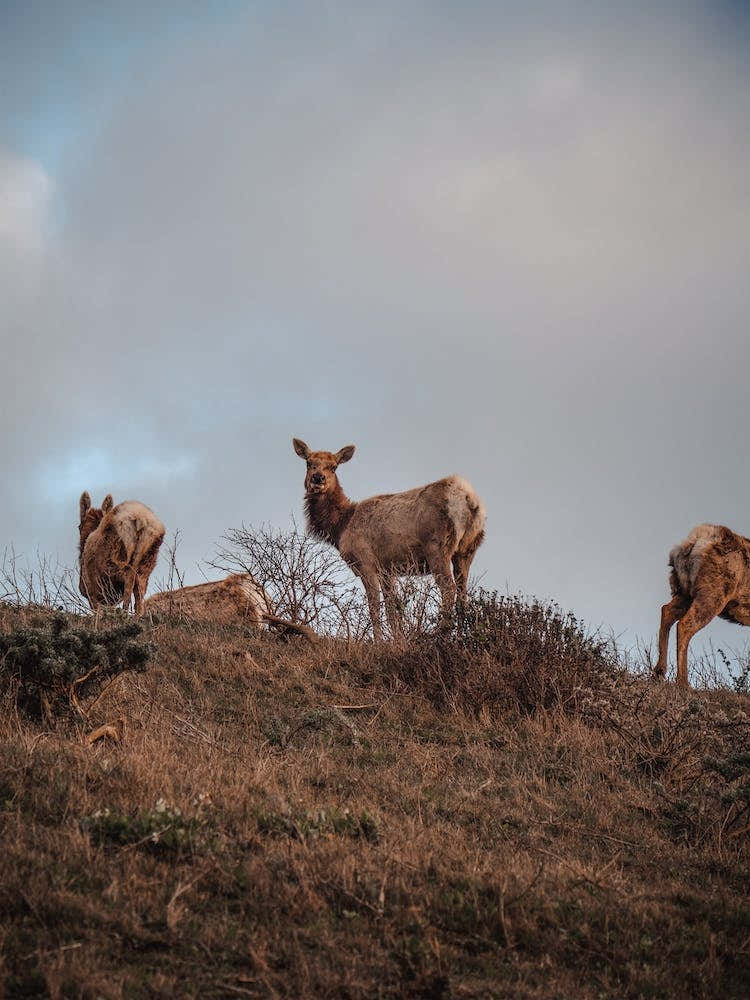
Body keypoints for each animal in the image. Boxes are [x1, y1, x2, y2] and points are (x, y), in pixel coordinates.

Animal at [292, 438, 486, 640]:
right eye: (309, 463)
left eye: (334, 467)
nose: (318, 478)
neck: (341, 527)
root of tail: (469, 499)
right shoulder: (387, 570)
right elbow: (392, 609)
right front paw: (397, 640)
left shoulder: (365, 561)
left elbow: (374, 607)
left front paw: (378, 641)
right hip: (467, 549)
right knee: (463, 593)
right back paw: (460, 637)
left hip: (437, 547)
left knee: (449, 588)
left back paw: (441, 634)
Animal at [654, 523, 750, 688]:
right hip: (713, 595)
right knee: (684, 624)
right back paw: (683, 683)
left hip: (685, 593)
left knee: (666, 611)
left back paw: (659, 672)